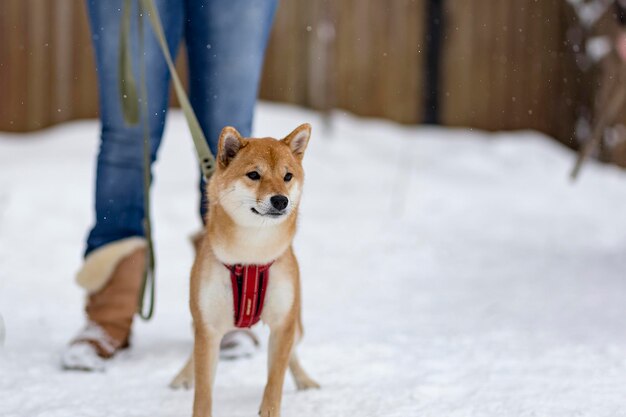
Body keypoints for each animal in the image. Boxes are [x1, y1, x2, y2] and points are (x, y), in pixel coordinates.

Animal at [169, 123, 316, 416]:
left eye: (287, 176)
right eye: (254, 175)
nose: (280, 200)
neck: (251, 255)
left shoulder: (283, 323)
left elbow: (276, 378)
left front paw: (269, 408)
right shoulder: (208, 328)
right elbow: (203, 390)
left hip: (296, 322)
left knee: (293, 353)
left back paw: (304, 380)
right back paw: (183, 375)